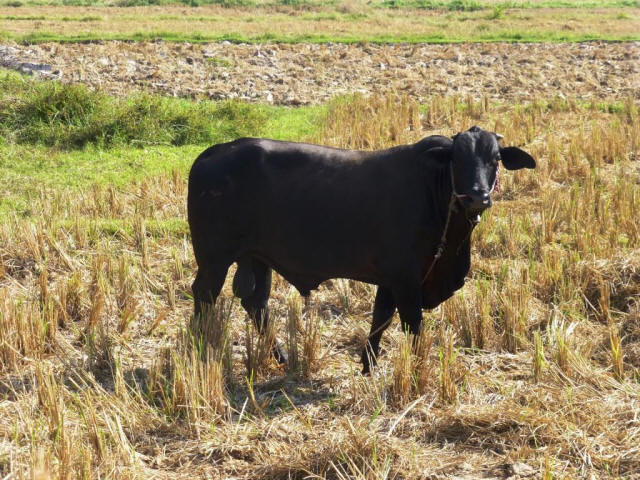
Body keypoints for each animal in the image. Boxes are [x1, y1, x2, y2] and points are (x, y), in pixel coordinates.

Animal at [187, 126, 536, 374]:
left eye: (495, 160)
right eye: (458, 160)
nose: (478, 197)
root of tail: (215, 151)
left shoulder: (391, 279)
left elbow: (380, 318)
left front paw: (369, 365)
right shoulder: (405, 279)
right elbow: (412, 325)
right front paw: (416, 370)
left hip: (257, 258)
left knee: (255, 303)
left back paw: (281, 356)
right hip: (214, 259)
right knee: (204, 297)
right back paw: (198, 349)